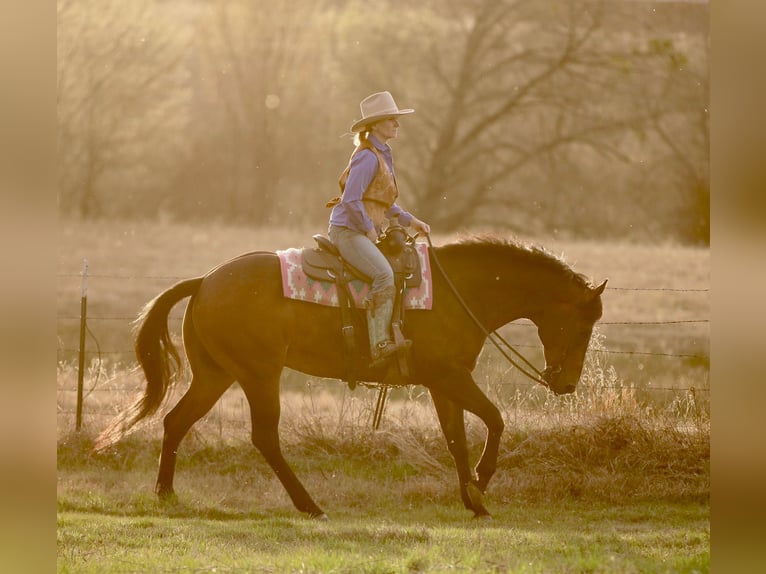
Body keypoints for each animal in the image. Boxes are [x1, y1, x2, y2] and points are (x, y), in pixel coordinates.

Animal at [95, 235, 606, 519]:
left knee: (176, 422)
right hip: (259, 375)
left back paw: (166, 494)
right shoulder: (452, 377)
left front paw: (474, 500)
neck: (458, 292)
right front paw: (481, 481)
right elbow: (496, 421)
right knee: (264, 437)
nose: (565, 383)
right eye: (583, 324)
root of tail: (204, 280)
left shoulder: (444, 384)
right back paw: (310, 505)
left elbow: (457, 439)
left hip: (215, 376)